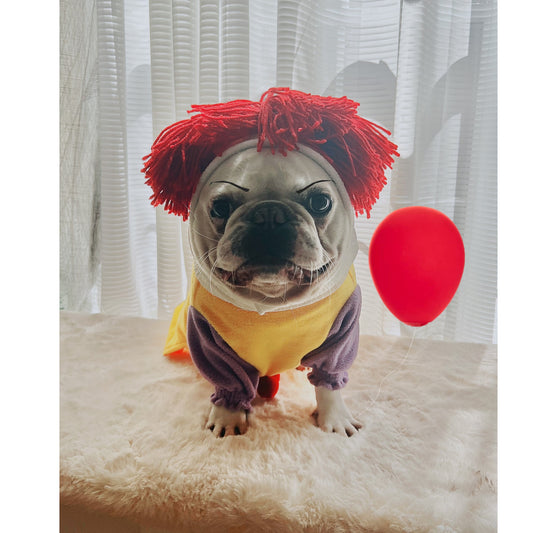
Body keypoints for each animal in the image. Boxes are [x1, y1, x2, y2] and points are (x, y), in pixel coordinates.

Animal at [143, 87, 396, 436]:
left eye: (321, 202)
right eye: (220, 207)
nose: (269, 215)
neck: (273, 301)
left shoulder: (340, 336)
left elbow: (328, 381)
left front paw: (334, 419)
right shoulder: (210, 342)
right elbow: (230, 381)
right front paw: (228, 417)